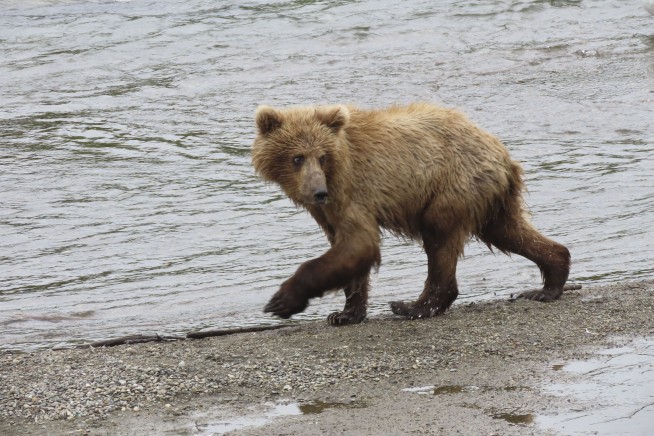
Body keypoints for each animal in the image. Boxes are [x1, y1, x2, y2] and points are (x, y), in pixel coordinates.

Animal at [252, 103, 571, 325]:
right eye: (297, 158)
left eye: (321, 156)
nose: (318, 192)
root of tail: (503, 153)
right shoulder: (329, 209)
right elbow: (346, 249)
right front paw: (344, 314)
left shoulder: (352, 190)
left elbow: (359, 243)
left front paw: (282, 301)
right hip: (490, 198)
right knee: (510, 232)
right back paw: (548, 282)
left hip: (452, 186)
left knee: (440, 238)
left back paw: (413, 307)